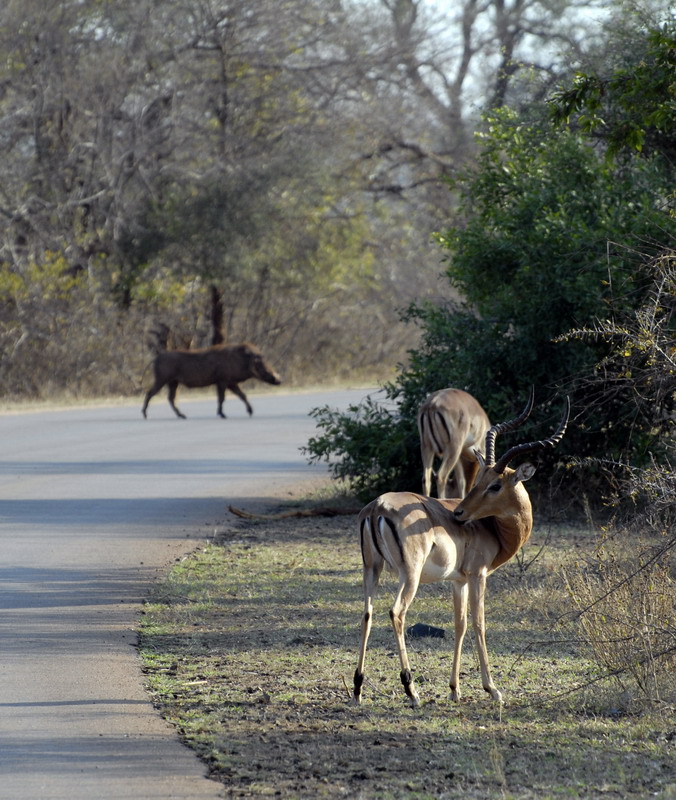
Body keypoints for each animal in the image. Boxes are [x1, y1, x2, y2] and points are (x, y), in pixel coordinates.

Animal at [354, 390, 572, 708]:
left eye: (494, 484)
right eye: (481, 480)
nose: (459, 513)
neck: (492, 528)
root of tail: (377, 508)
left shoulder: (458, 580)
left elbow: (460, 624)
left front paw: (454, 689)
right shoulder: (478, 575)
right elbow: (479, 623)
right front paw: (492, 689)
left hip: (372, 569)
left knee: (367, 614)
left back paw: (357, 688)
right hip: (410, 575)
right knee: (396, 612)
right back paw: (411, 691)